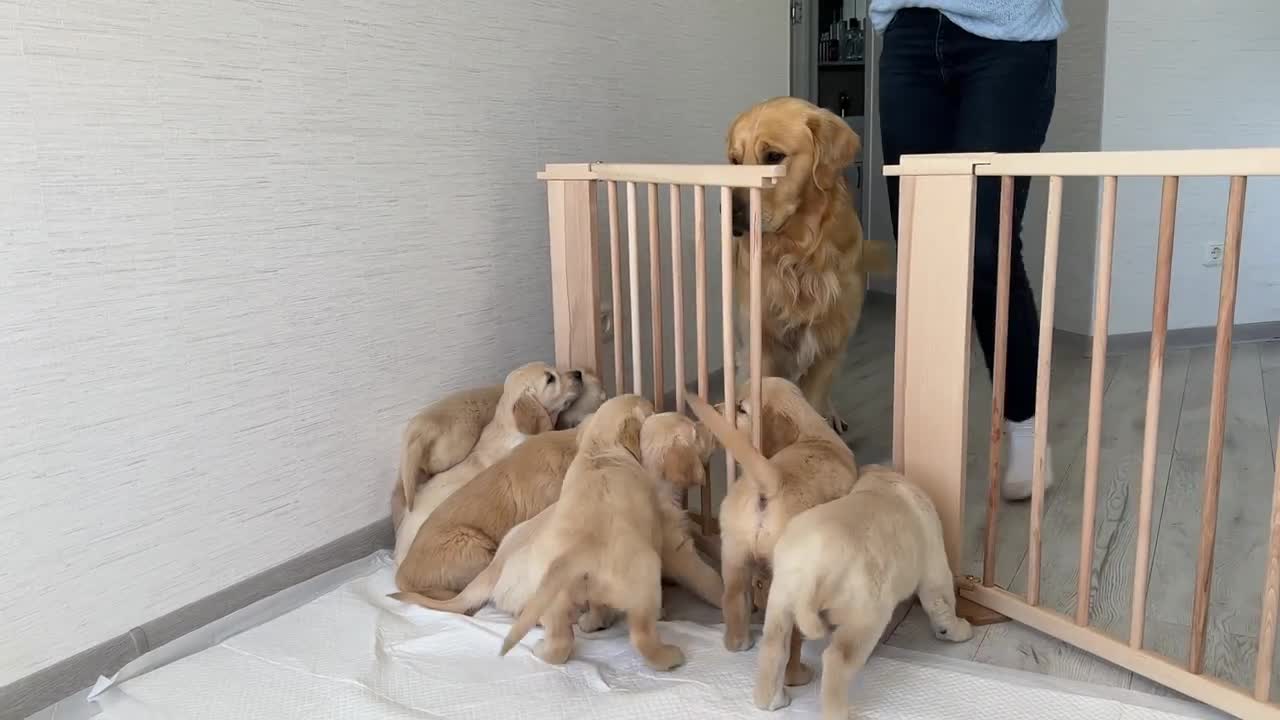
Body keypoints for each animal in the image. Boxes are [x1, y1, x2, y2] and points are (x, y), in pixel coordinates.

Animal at [499, 392, 701, 666]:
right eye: (650, 411)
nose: (654, 404)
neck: (600, 449)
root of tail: (575, 554)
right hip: (644, 585)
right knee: (642, 634)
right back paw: (669, 656)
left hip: (551, 597)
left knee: (562, 637)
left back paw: (547, 647)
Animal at [686, 376, 855, 681]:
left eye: (741, 409)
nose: (711, 412)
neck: (809, 431)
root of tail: (771, 483)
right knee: (791, 637)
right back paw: (796, 675)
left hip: (734, 554)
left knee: (733, 598)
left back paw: (738, 643)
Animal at [727, 95, 896, 430]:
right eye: (734, 161)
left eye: (774, 156)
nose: (730, 211)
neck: (797, 256)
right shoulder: (761, 344)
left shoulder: (830, 344)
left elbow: (813, 402)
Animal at [747, 461, 967, 712]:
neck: (883, 481)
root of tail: (813, 571)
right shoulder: (933, 558)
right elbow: (940, 598)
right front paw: (958, 630)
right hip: (866, 609)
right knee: (838, 659)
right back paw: (840, 711)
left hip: (782, 591)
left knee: (774, 645)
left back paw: (772, 701)